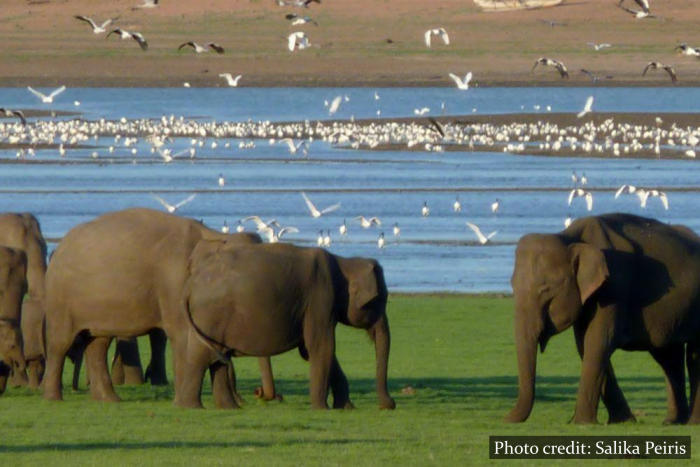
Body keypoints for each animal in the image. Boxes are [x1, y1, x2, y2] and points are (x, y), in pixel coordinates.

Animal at [43, 208, 262, 402]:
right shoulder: (174, 280)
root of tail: (59, 247)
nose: (244, 400)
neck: (213, 235)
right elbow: (182, 332)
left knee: (98, 343)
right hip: (60, 298)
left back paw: (110, 400)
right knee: (60, 343)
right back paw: (54, 398)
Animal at [176, 243, 394, 412]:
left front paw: (345, 408)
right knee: (203, 357)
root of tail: (190, 285)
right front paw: (322, 409)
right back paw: (193, 407)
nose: (389, 405)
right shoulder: (320, 298)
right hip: (210, 317)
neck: (343, 262)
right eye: (381, 300)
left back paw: (228, 408)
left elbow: (311, 350)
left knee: (217, 358)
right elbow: (322, 347)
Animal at [506, 214, 700, 426]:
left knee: (693, 356)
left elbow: (599, 341)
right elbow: (585, 345)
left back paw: (692, 422)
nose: (504, 419)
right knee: (668, 357)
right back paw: (673, 422)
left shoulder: (614, 286)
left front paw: (581, 423)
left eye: (545, 289)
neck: (569, 237)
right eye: (512, 286)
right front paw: (622, 421)